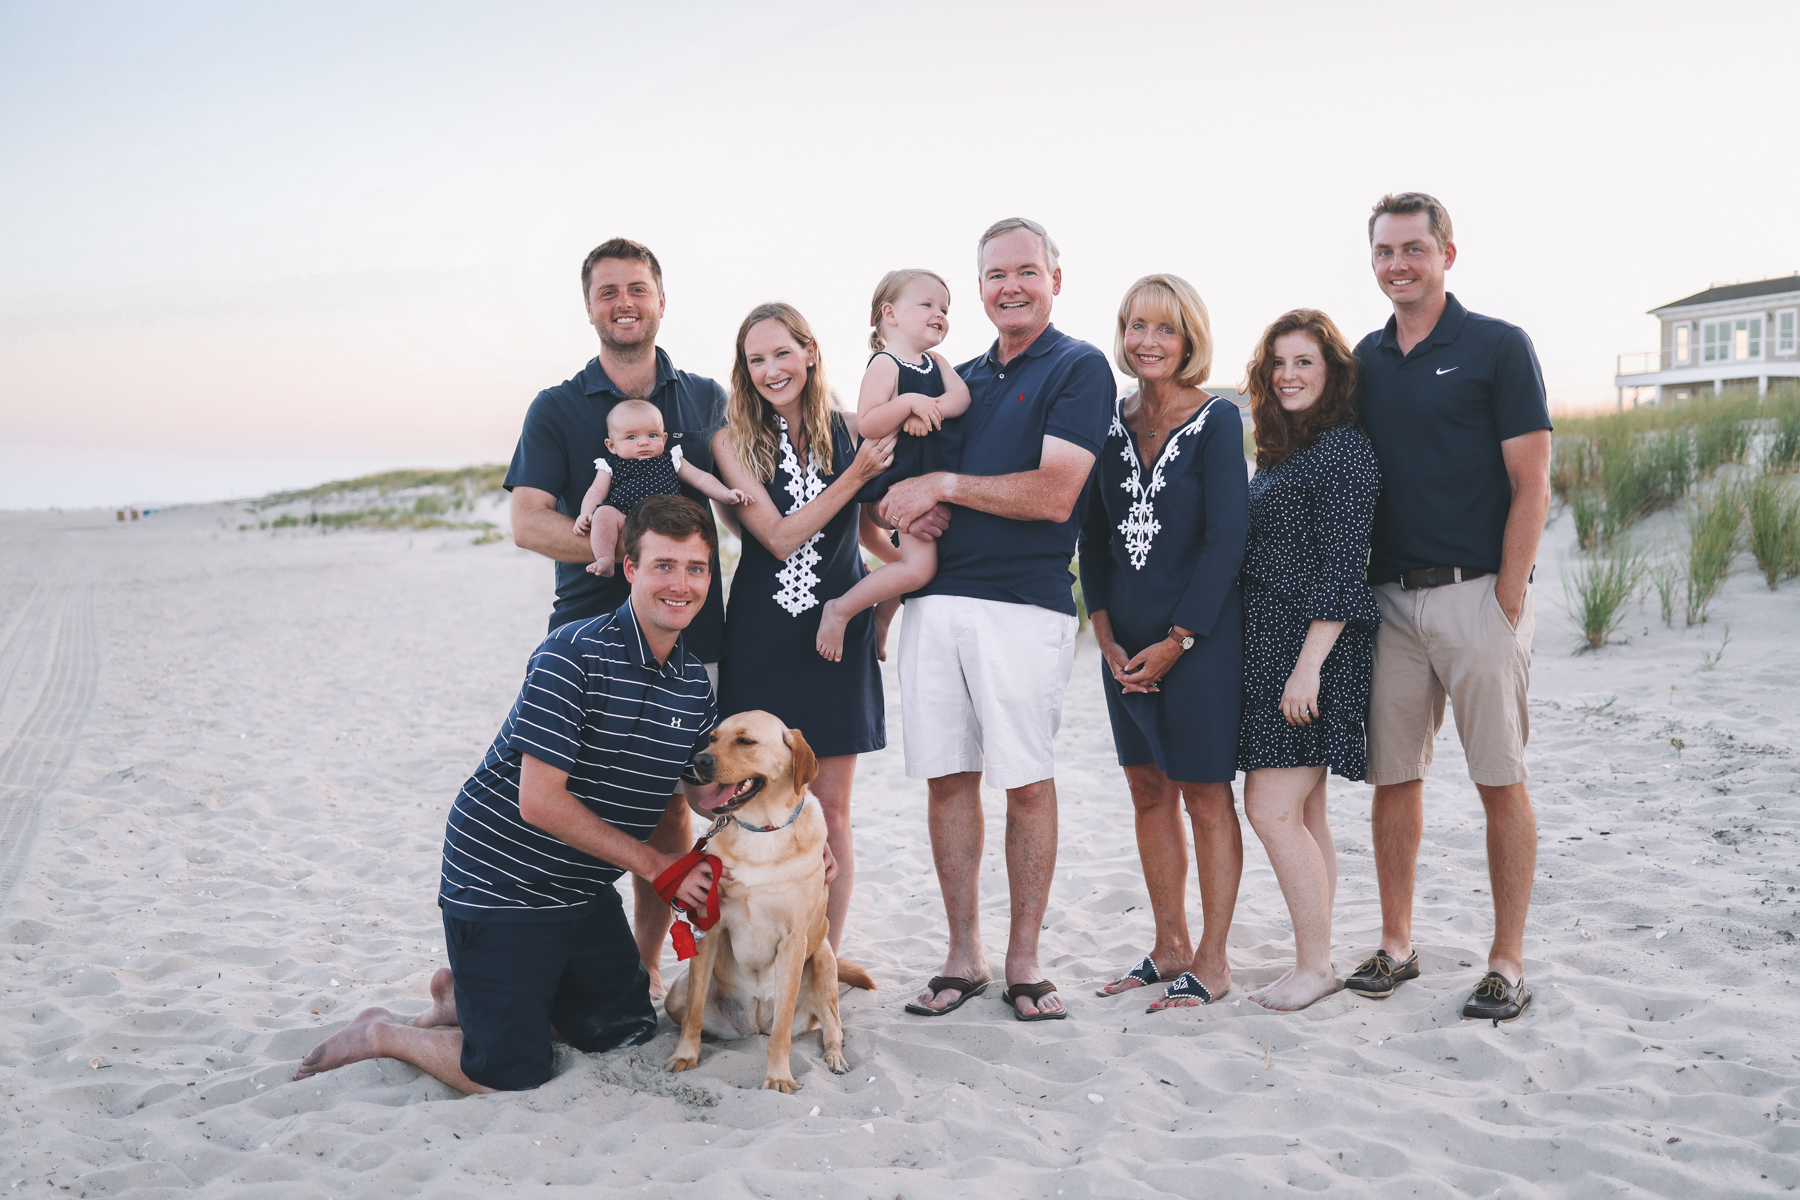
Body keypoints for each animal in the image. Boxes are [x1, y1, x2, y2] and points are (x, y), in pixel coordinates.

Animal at [669, 708, 878, 1093]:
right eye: (712, 738)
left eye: (746, 741)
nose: (699, 761)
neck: (761, 831)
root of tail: (754, 1026)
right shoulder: (710, 928)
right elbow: (693, 1013)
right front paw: (685, 1056)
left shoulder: (794, 942)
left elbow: (781, 1033)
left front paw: (778, 1077)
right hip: (677, 992)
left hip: (823, 958)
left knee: (831, 1026)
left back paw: (834, 1057)